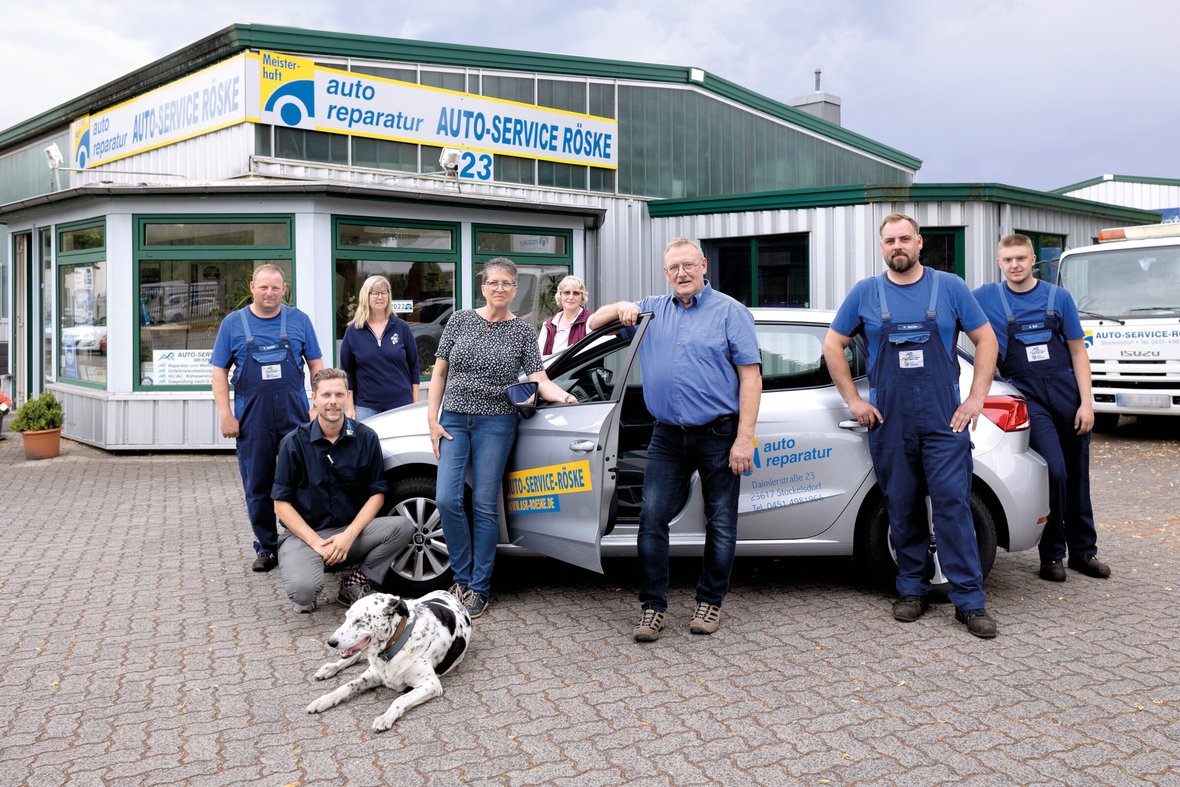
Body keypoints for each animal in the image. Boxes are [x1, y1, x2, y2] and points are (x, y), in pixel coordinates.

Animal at [304, 589, 469, 731]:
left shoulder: (431, 684)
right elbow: (346, 686)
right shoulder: (374, 674)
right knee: (353, 657)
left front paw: (385, 717)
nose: (331, 642)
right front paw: (324, 699)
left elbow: (400, 699)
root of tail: (449, 593)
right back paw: (330, 668)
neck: (397, 641)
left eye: (359, 621)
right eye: (346, 617)